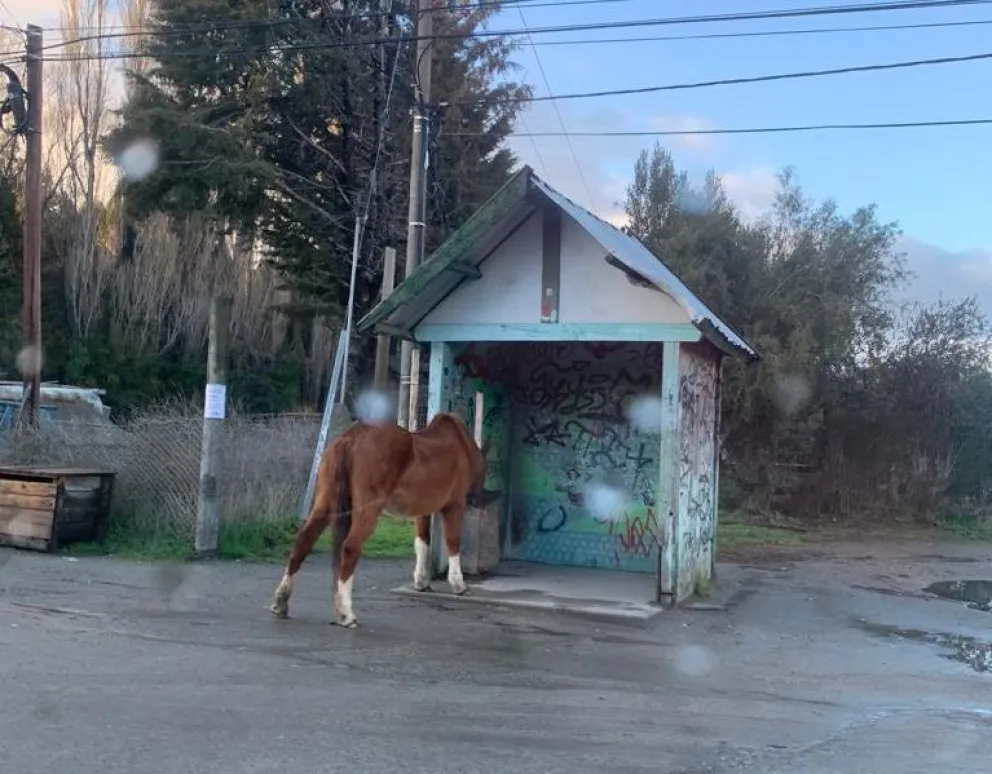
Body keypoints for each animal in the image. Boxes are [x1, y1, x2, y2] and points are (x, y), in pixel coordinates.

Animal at [269, 412, 490, 628]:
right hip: (368, 511)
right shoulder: (454, 506)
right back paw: (346, 614)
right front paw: (458, 585)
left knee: (304, 540)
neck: (459, 442)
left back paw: (281, 603)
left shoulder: (422, 510)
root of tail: (350, 437)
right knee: (350, 547)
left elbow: (422, 543)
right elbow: (453, 542)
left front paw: (421, 582)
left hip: (326, 503)